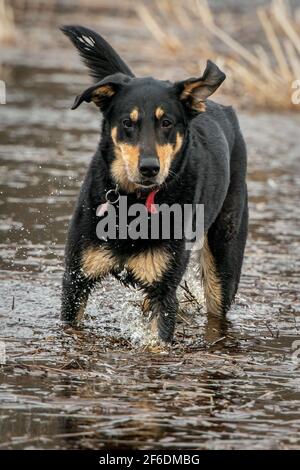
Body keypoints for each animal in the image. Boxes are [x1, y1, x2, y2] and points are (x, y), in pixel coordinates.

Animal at [60, 25, 248, 344]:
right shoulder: (76, 279)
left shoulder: (163, 290)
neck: (133, 201)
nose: (149, 168)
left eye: (167, 123)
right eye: (127, 122)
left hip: (224, 262)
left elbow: (156, 339)